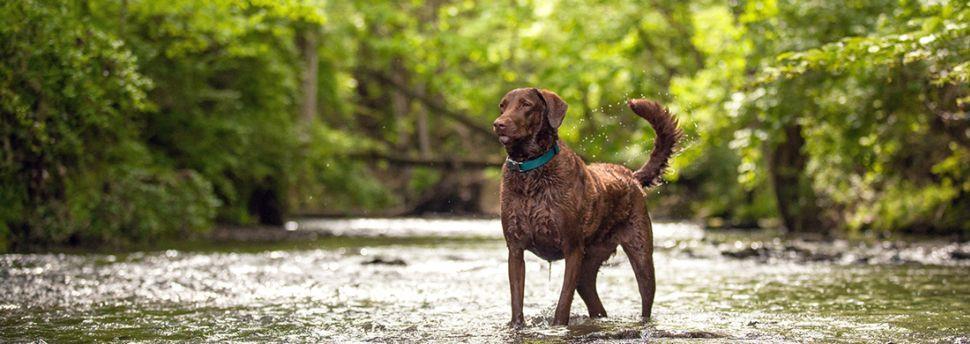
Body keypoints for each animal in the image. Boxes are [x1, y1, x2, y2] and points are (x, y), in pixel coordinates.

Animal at [492, 87, 680, 326]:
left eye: (526, 104)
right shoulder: (515, 250)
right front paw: (517, 326)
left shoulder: (571, 247)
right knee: (595, 303)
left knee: (646, 299)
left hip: (642, 256)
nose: (498, 124)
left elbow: (563, 303)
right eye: (503, 106)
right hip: (588, 267)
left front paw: (557, 326)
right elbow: (517, 301)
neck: (531, 173)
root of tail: (632, 176)